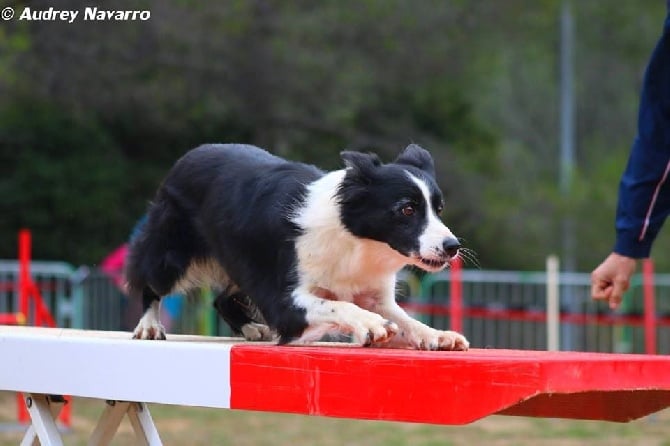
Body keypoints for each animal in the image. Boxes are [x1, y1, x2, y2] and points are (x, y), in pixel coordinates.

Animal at [127, 145, 472, 350]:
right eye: (407, 209)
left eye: (438, 209)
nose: (452, 246)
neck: (355, 240)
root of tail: (190, 154)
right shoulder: (284, 299)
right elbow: (338, 305)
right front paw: (370, 324)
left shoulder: (372, 291)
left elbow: (404, 319)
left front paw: (436, 335)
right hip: (172, 251)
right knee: (150, 281)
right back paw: (149, 325)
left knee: (222, 299)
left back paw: (251, 329)